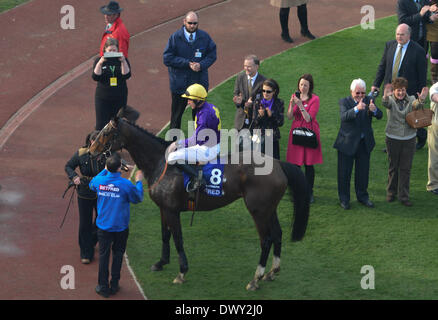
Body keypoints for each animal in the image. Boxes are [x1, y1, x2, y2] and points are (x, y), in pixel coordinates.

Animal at [89, 117, 310, 290]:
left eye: (107, 132)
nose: (91, 150)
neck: (160, 163)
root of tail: (278, 164)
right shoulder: (162, 208)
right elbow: (165, 235)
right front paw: (161, 263)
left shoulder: (172, 210)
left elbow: (177, 238)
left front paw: (181, 272)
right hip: (269, 209)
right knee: (278, 234)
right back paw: (273, 271)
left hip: (258, 211)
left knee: (266, 240)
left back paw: (256, 279)